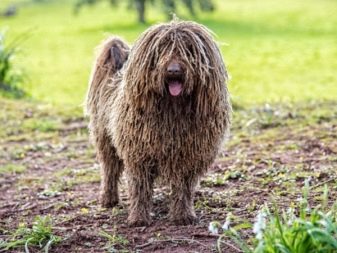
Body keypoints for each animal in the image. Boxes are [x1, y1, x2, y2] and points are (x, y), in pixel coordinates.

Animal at [85, 20, 230, 226]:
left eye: (189, 49)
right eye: (161, 49)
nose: (173, 70)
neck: (173, 112)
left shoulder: (188, 156)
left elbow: (183, 189)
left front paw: (183, 215)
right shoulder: (138, 155)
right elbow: (140, 188)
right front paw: (138, 218)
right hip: (105, 139)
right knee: (110, 170)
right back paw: (108, 199)